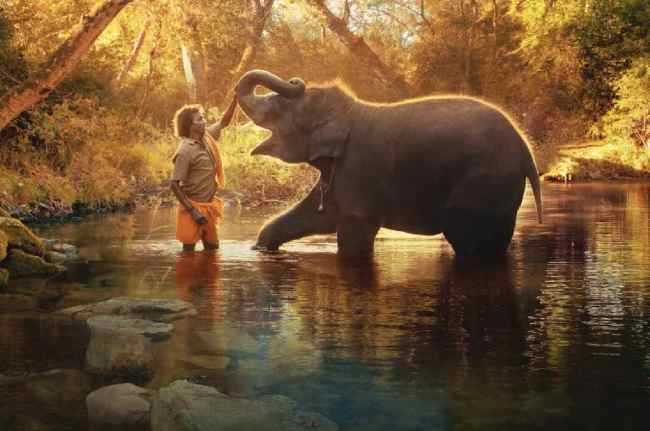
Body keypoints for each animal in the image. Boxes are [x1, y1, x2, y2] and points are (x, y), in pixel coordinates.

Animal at [235, 70, 543, 257]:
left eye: (279, 108)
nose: (296, 80)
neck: (349, 111)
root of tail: (525, 150)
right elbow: (319, 215)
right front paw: (261, 248)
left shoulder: (360, 167)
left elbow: (353, 234)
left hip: (484, 181)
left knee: (467, 238)